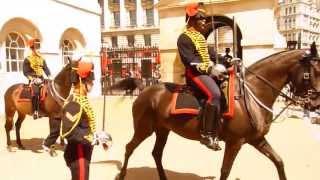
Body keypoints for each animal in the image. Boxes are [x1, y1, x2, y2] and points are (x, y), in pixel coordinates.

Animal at [112, 47, 320, 180]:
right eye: (314, 72)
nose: (316, 103)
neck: (251, 95)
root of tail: (146, 89)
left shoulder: (256, 139)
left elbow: (279, 161)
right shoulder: (235, 142)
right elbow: (225, 170)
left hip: (163, 130)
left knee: (156, 153)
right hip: (144, 129)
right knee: (129, 147)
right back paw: (121, 175)